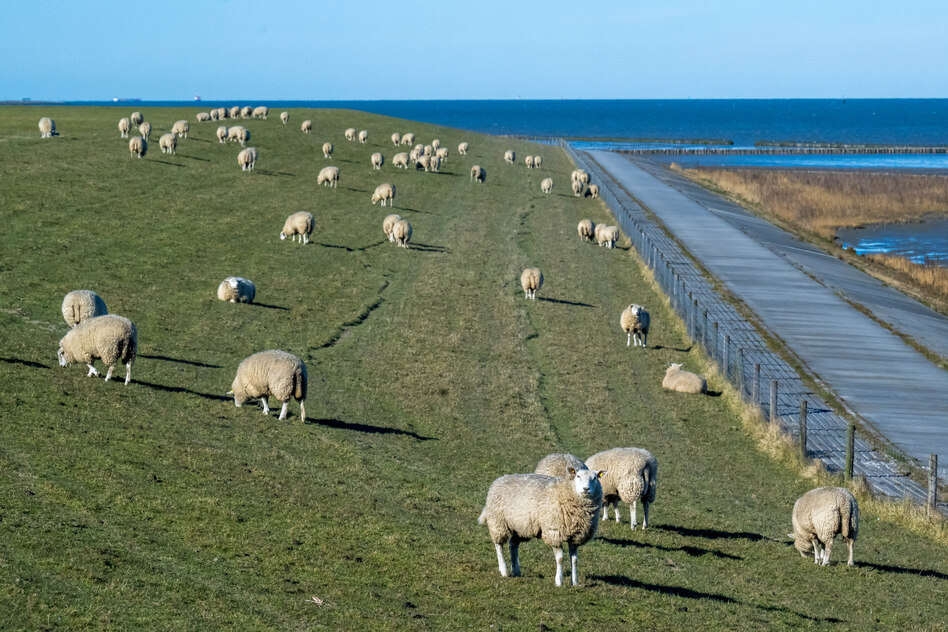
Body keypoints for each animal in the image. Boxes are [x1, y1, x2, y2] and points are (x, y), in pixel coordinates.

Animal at [478, 468, 606, 587]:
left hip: (521, 527)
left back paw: (516, 570)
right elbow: (560, 558)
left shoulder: (575, 537)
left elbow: (574, 560)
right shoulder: (554, 532)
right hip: (498, 522)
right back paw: (504, 570)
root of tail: (500, 478)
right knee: (499, 545)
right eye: (578, 476)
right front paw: (559, 581)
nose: (586, 489)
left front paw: (574, 582)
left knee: (513, 545)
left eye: (595, 478)